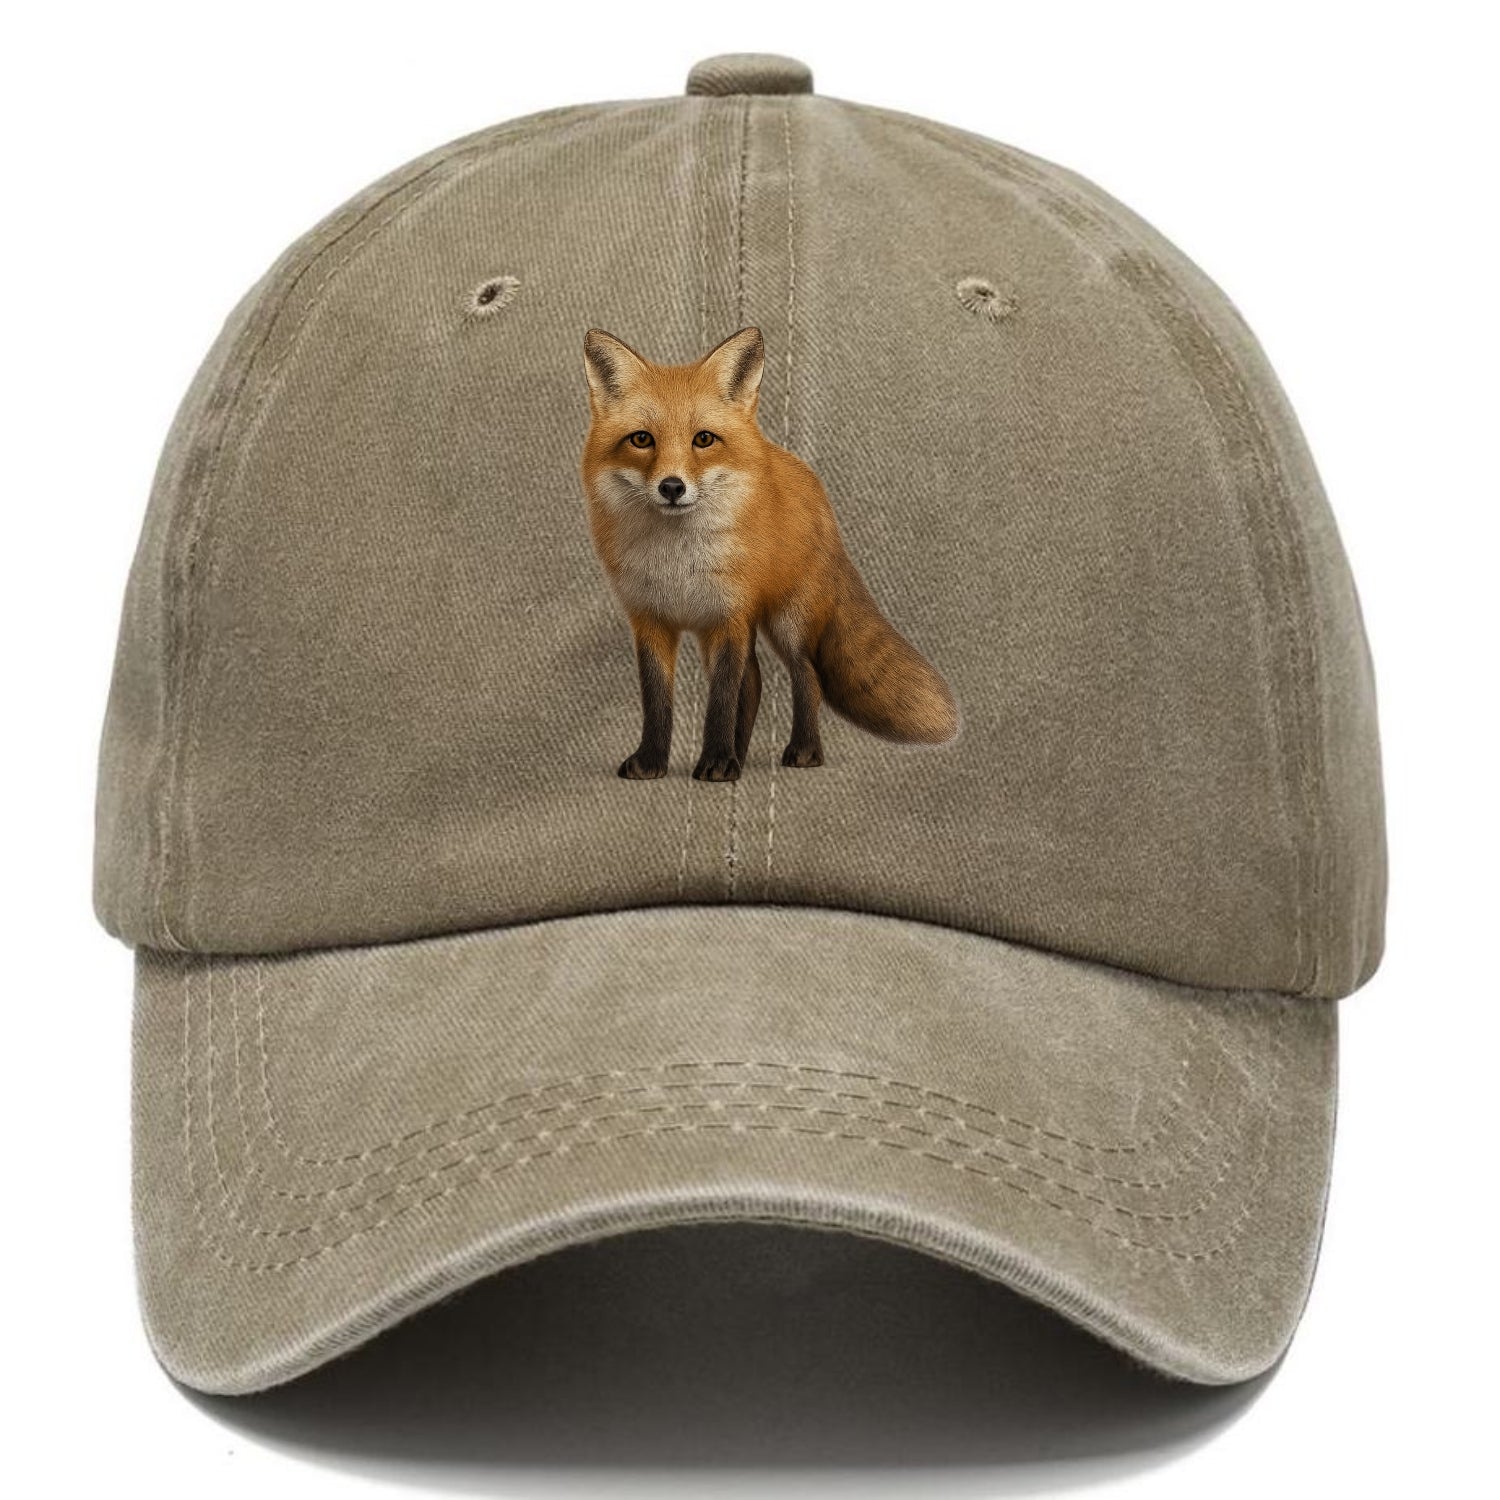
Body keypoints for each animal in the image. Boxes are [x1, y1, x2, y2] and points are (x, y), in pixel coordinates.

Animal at [580, 325, 959, 782]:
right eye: (641, 440)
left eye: (703, 439)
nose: (672, 487)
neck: (678, 561)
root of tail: (809, 480)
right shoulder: (653, 621)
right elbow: (658, 702)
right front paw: (654, 761)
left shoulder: (730, 617)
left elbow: (721, 701)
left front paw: (717, 762)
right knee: (756, 684)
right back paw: (741, 756)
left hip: (788, 621)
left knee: (807, 675)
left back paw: (802, 750)